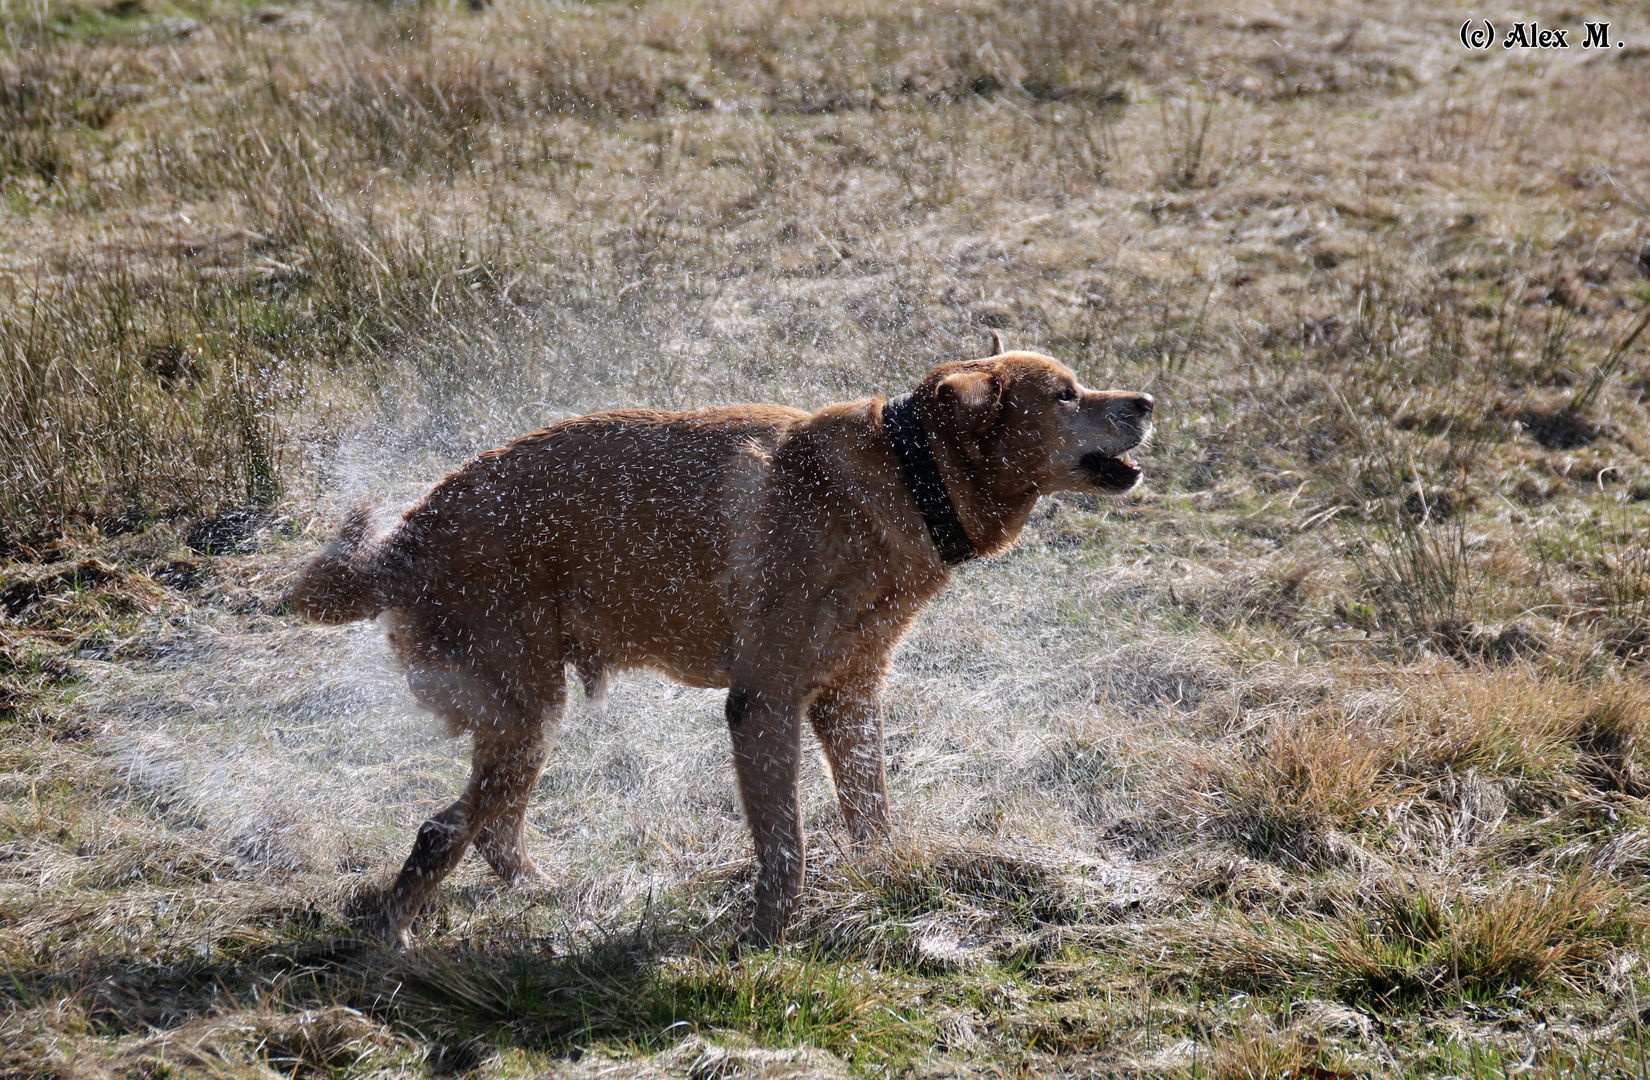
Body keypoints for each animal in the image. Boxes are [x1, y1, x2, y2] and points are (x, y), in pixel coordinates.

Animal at [290, 347, 1155, 949]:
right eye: (1065, 394)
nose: (1146, 401)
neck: (909, 478)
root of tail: (404, 541)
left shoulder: (851, 697)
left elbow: (870, 811)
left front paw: (887, 884)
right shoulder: (764, 701)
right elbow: (787, 844)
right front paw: (765, 940)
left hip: (526, 719)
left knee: (492, 828)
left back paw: (540, 892)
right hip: (524, 709)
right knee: (443, 828)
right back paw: (396, 940)